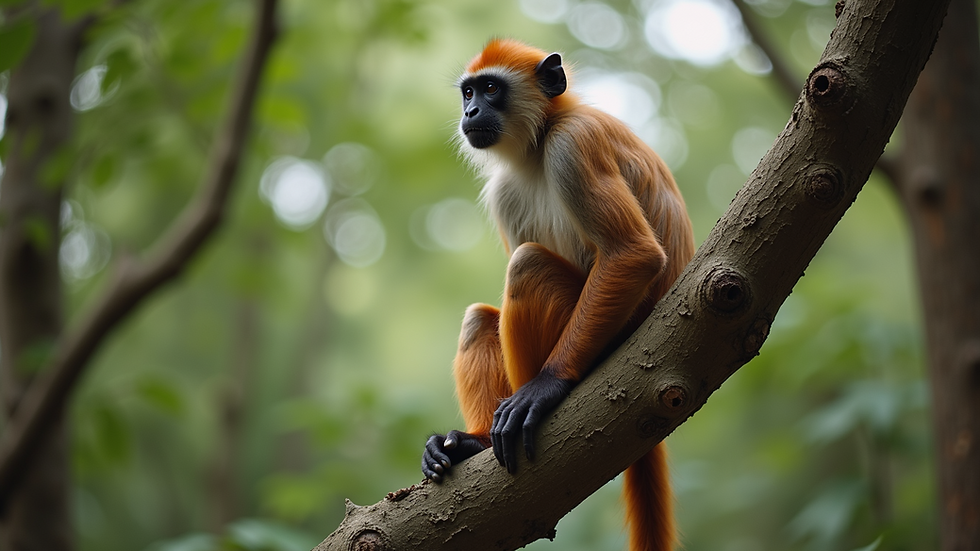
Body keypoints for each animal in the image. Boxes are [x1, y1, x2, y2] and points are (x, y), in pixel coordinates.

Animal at [421, 39, 695, 551]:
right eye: (468, 92)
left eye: (491, 89)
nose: (470, 111)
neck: (537, 145)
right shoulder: (504, 191)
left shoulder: (574, 144)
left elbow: (635, 254)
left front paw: (545, 386)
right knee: (480, 317)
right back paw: (477, 442)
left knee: (527, 265)